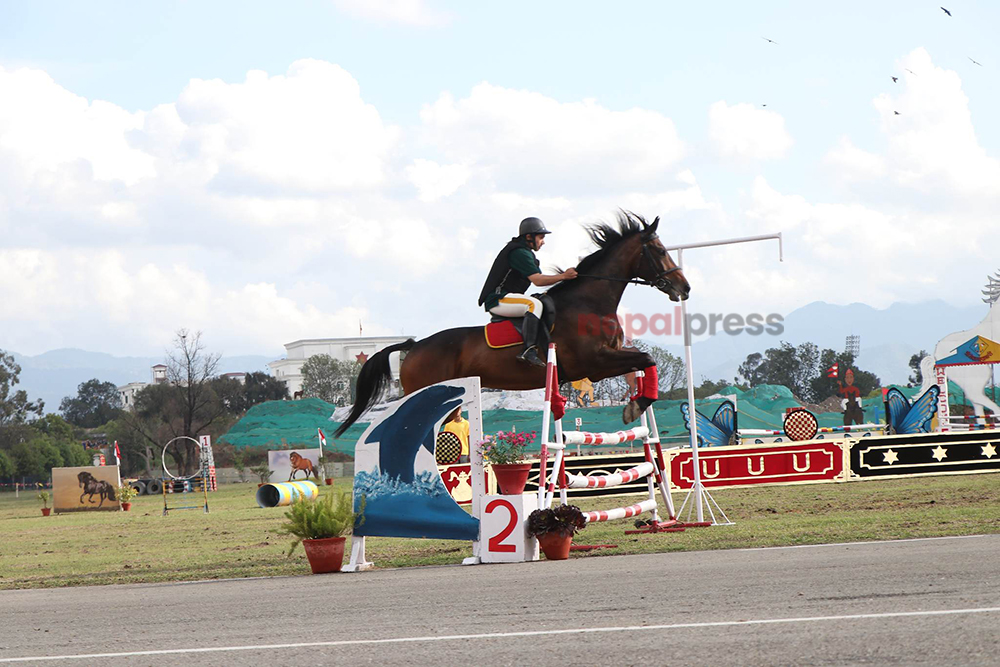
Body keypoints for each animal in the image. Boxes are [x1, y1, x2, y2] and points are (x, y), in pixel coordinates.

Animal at [334, 210, 688, 438]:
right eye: (659, 251)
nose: (684, 288)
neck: (590, 303)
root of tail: (415, 346)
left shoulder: (606, 360)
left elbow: (641, 365)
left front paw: (633, 405)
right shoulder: (594, 363)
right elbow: (648, 358)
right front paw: (637, 405)